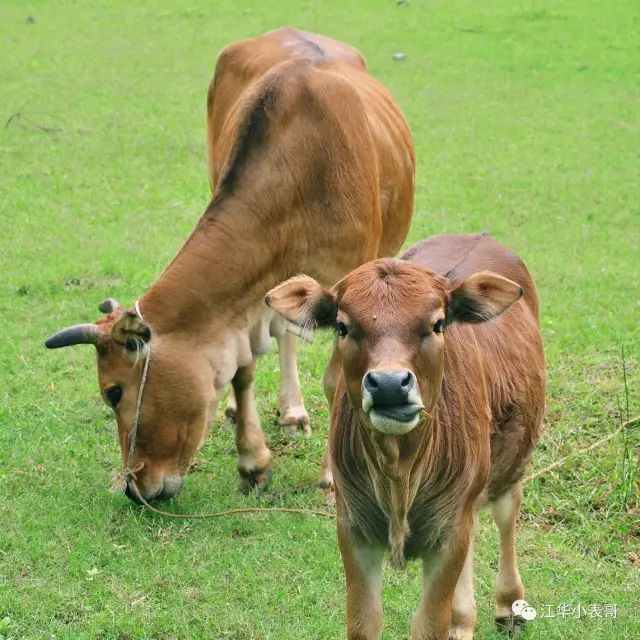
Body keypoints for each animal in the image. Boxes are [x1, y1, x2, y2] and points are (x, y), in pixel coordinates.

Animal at [45, 28, 416, 500]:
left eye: (113, 392)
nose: (132, 486)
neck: (301, 176)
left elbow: (339, 379)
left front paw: (334, 476)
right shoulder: (251, 295)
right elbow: (244, 366)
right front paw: (252, 462)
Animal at [264, 235, 544, 640]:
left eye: (438, 323)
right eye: (342, 327)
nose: (389, 384)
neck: (399, 471)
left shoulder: (449, 533)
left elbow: (428, 625)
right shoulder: (354, 529)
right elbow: (364, 622)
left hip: (513, 458)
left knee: (507, 510)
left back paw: (509, 604)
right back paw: (462, 618)